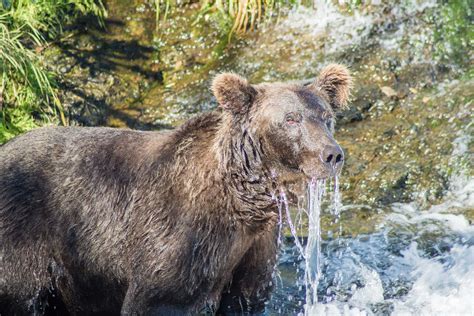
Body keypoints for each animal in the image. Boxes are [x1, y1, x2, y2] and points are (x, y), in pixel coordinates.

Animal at [0, 65, 352, 316]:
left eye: (326, 117)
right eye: (291, 118)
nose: (332, 155)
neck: (245, 201)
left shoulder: (254, 250)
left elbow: (246, 297)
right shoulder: (180, 237)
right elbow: (162, 297)